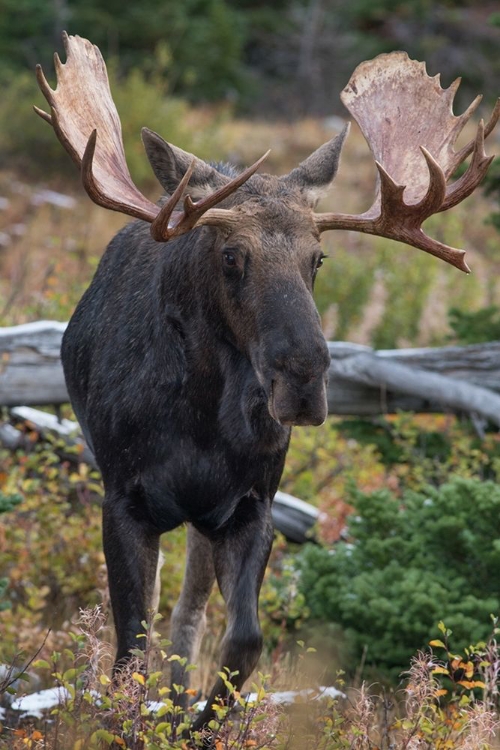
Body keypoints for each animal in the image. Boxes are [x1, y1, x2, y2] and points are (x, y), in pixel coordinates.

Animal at [36, 35, 500, 736]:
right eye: (232, 255)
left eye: (318, 258)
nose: (304, 377)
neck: (197, 420)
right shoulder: (122, 498)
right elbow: (128, 652)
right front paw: (137, 723)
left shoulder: (252, 505)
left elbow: (244, 640)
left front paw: (197, 724)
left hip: (204, 521)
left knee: (189, 616)